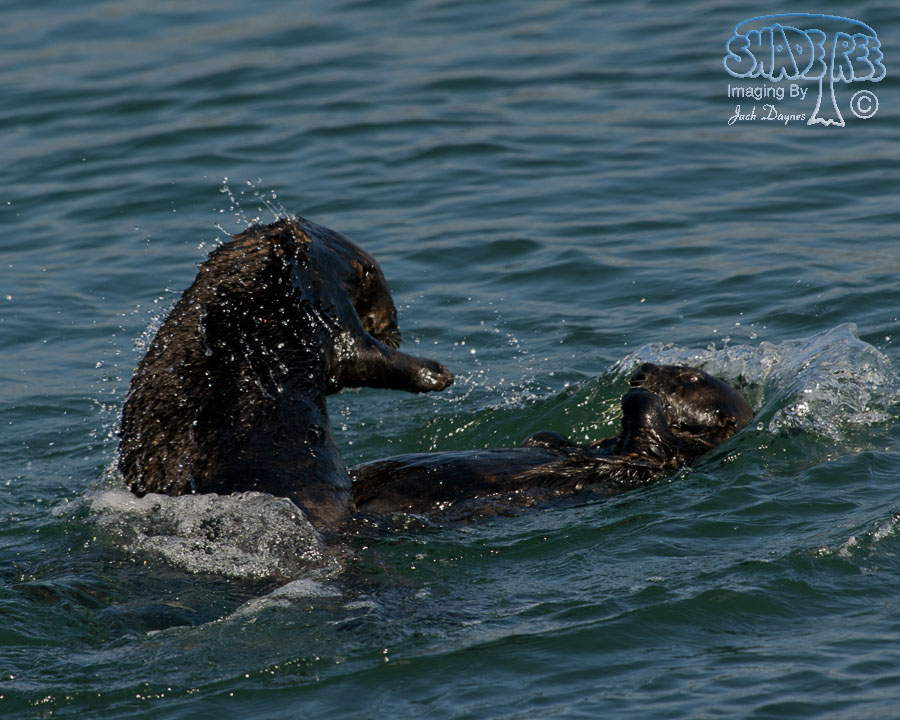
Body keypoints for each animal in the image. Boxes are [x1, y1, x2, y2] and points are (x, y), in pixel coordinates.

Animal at [351, 364, 752, 516]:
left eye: (690, 379)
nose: (643, 369)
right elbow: (550, 439)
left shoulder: (664, 459)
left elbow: (651, 439)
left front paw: (639, 393)